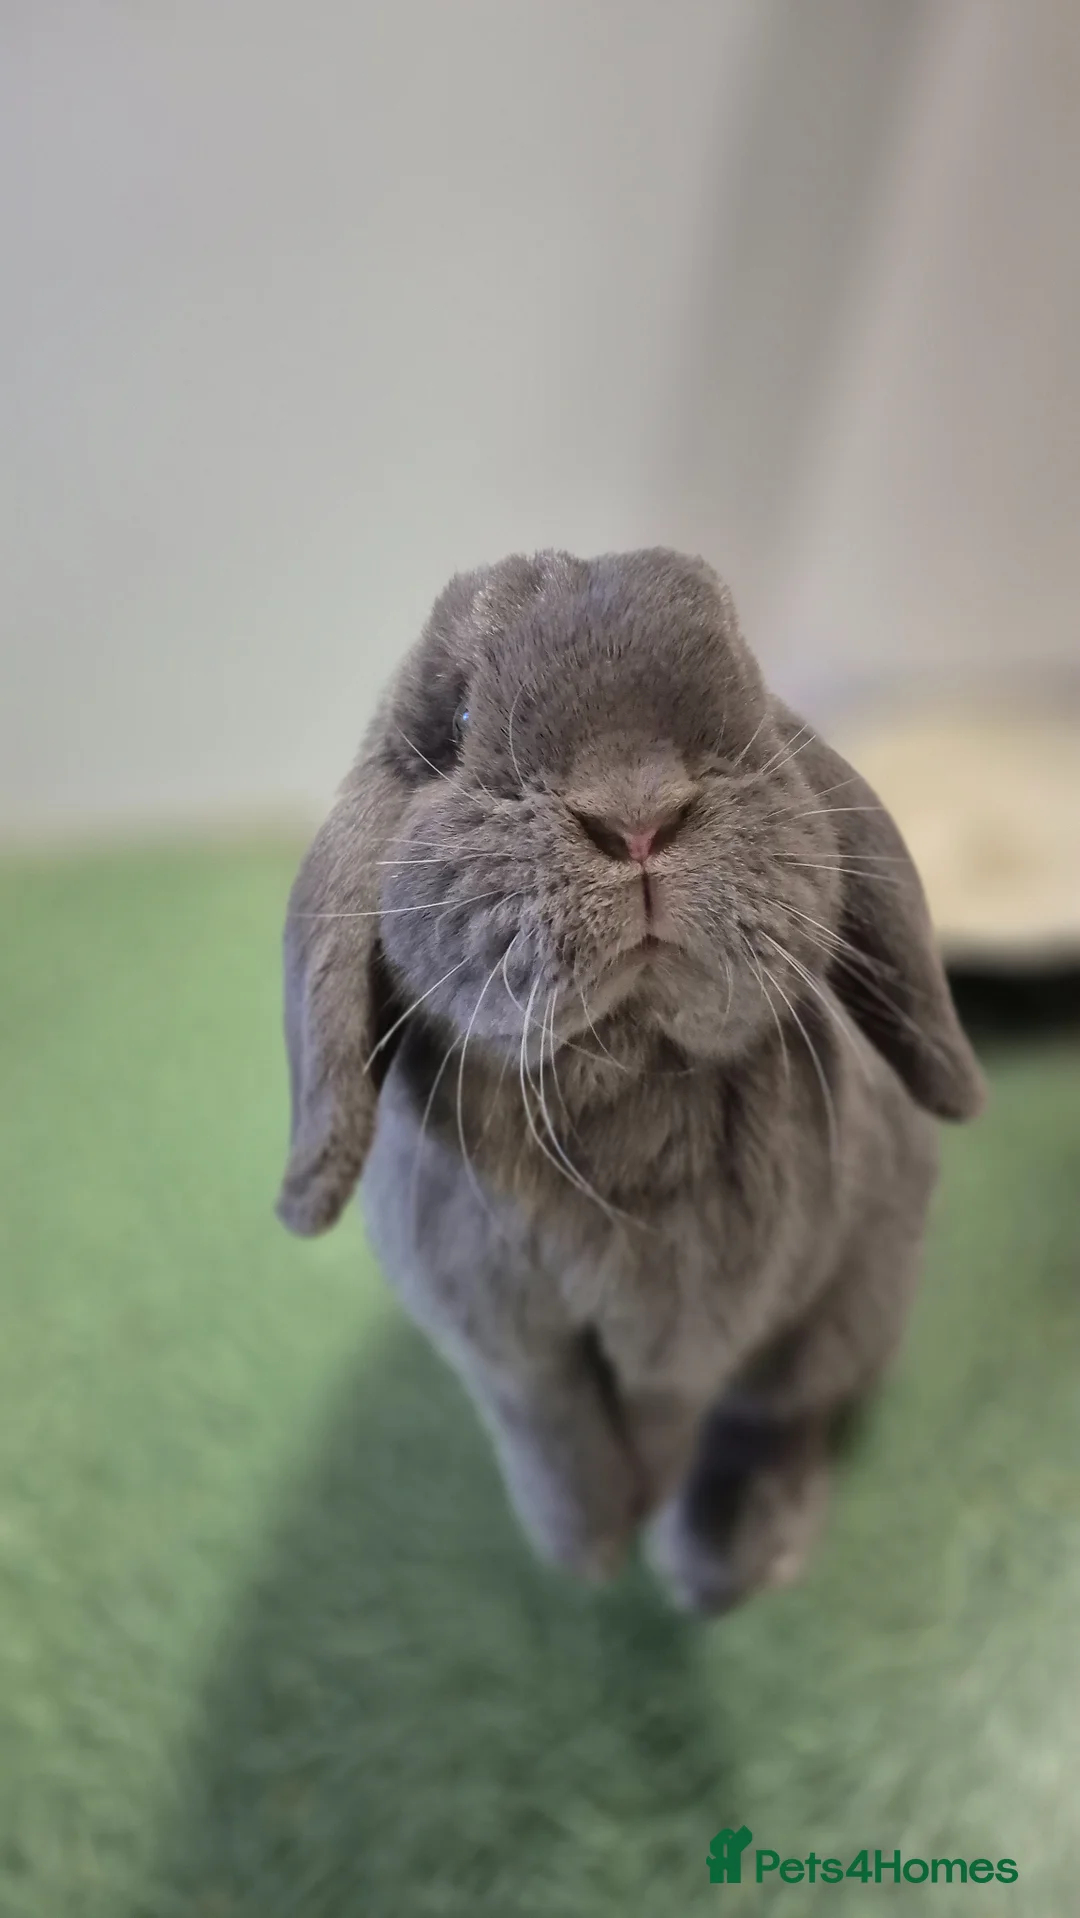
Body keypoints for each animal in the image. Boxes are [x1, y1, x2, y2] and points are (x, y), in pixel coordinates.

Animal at [275, 548, 985, 1614]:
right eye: (460, 723)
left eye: (748, 692)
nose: (639, 818)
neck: (613, 1078)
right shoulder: (506, 1349)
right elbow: (556, 1435)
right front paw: (585, 1549)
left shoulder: (701, 1331)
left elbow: (676, 1416)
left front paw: (644, 1527)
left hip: (852, 1303)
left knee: (782, 1413)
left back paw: (726, 1558)